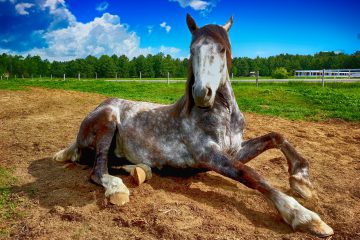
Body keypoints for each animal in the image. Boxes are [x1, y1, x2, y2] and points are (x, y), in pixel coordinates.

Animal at [54, 14, 334, 237]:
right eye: (192, 50)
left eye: (222, 49)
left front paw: (302, 182)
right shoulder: (208, 155)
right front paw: (304, 216)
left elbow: (277, 137)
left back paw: (141, 170)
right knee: (97, 169)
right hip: (109, 120)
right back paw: (117, 189)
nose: (202, 93)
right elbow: (250, 174)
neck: (223, 116)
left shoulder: (235, 150)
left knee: (114, 163)